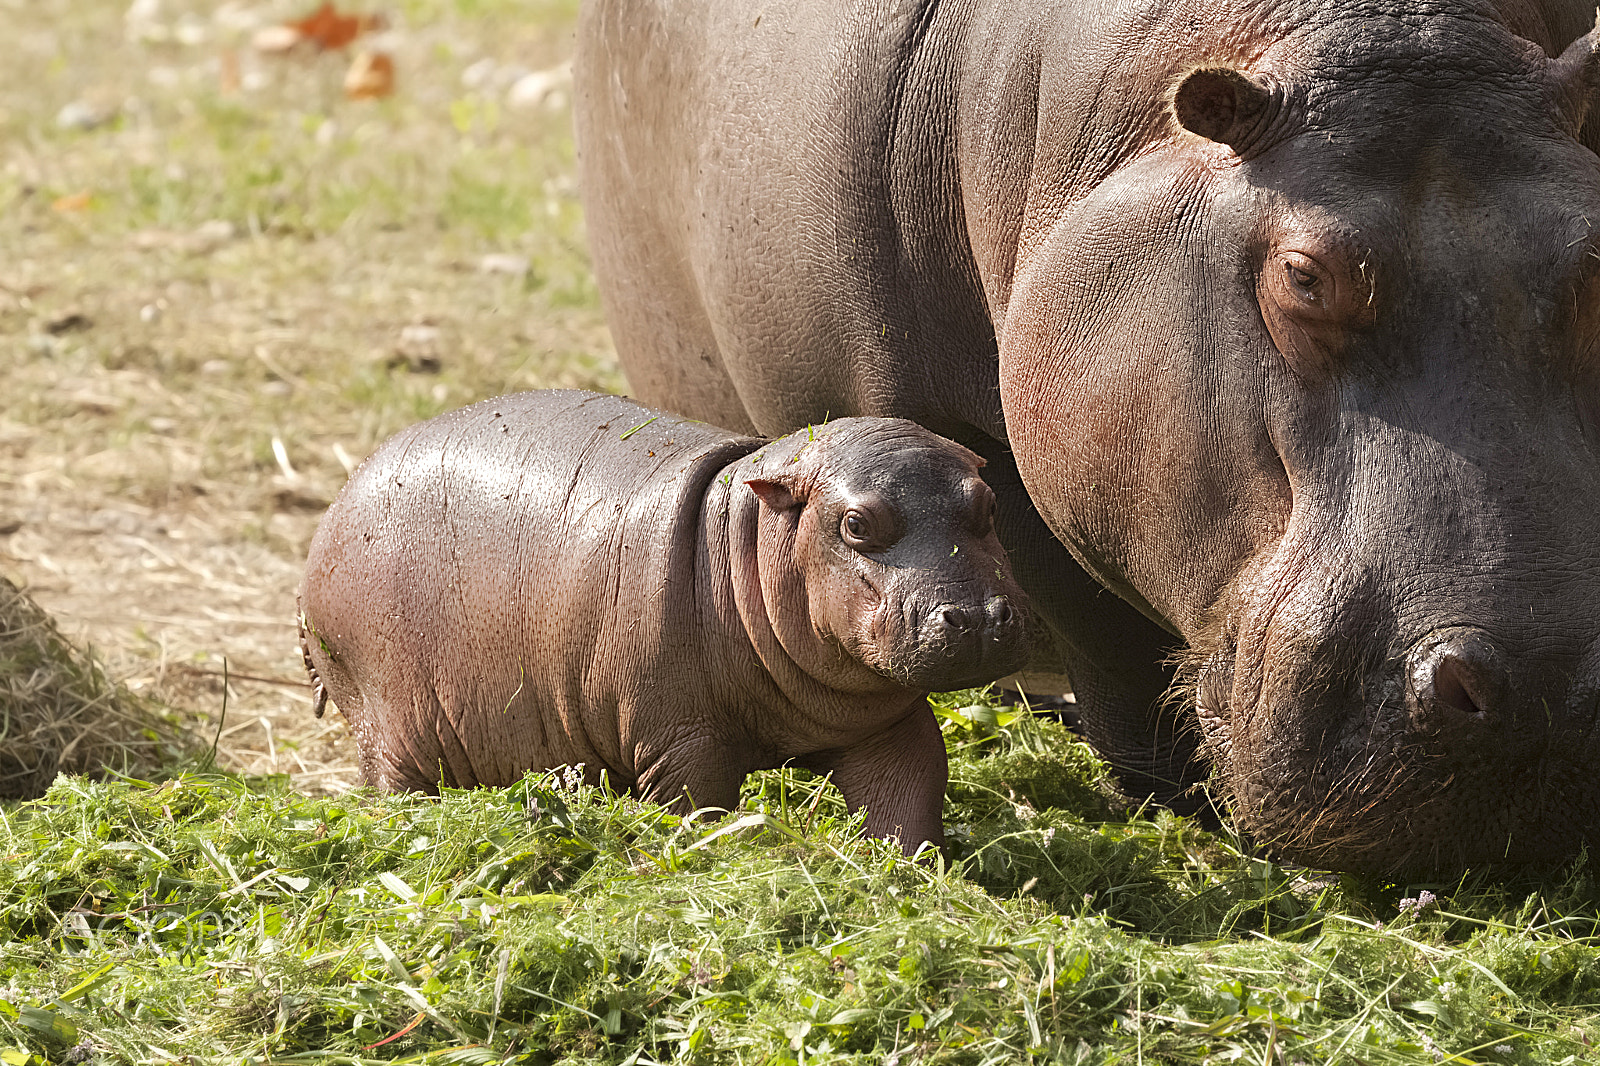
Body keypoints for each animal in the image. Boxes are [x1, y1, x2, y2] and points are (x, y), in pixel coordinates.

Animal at [298, 390, 1030, 853]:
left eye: (990, 504)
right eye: (855, 524)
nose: (978, 618)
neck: (750, 537)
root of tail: (330, 513)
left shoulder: (886, 723)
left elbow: (910, 800)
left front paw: (907, 881)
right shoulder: (679, 738)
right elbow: (694, 806)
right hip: (387, 724)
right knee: (393, 787)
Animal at [574, 0, 1600, 873]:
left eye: (1595, 257)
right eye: (1303, 276)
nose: (1539, 694)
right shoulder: (993, 458)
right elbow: (1103, 636)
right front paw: (1177, 808)